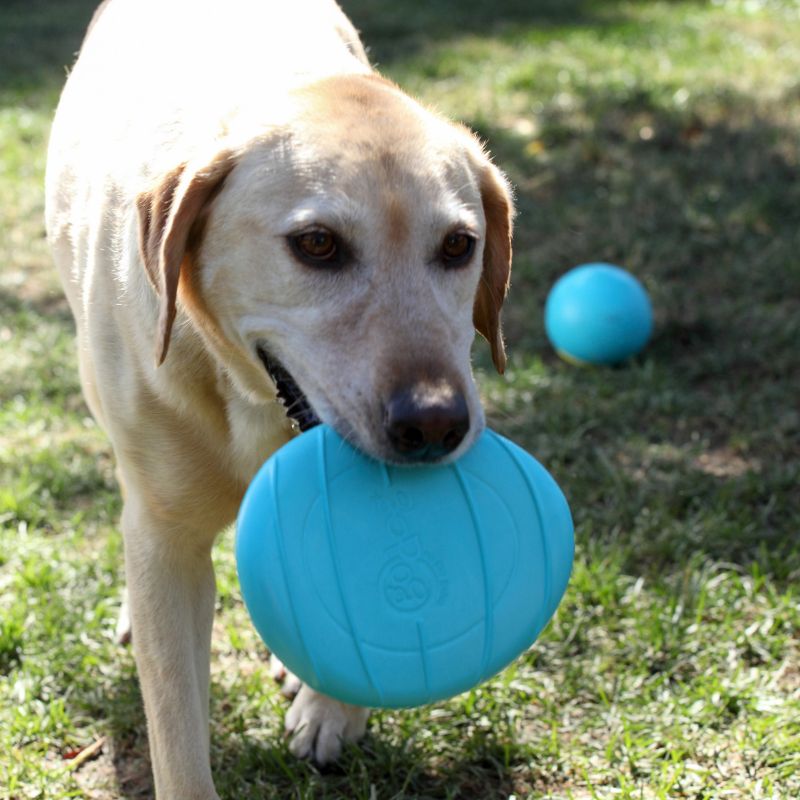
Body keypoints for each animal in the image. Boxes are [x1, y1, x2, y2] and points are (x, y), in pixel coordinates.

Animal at [47, 1, 516, 792]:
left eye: (459, 245)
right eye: (318, 244)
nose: (436, 425)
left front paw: (331, 708)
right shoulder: (166, 536)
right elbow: (176, 727)